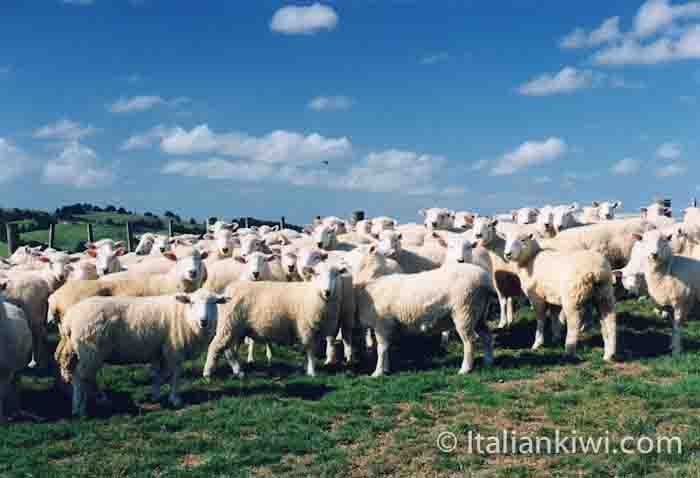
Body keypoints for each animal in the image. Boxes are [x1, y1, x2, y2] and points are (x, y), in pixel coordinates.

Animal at [56, 288, 230, 414]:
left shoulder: (160, 351)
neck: (185, 316)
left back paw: (92, 401)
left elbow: (159, 375)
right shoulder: (174, 349)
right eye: (192, 303)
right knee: (81, 378)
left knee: (81, 376)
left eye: (214, 302)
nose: (204, 321)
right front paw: (175, 399)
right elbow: (175, 376)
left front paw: (156, 395)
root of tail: (69, 319)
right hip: (89, 350)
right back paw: (80, 408)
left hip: (82, 352)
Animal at [352, 234, 494, 378]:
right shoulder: (387, 324)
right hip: (479, 312)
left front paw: (378, 372)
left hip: (465, 309)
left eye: (358, 250)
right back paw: (488, 361)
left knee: (470, 340)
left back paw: (465, 369)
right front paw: (385, 369)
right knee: (487, 335)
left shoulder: (382, 323)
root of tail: (485, 279)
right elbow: (386, 348)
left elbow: (381, 348)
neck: (373, 281)